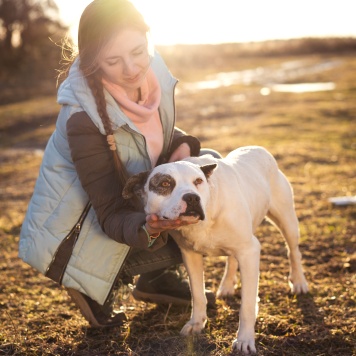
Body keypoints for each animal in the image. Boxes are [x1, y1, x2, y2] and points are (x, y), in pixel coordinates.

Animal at [123, 146, 308, 354]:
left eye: (198, 181)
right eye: (165, 183)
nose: (192, 197)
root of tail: (258, 148)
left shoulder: (250, 251)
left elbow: (247, 305)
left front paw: (244, 339)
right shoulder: (190, 256)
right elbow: (197, 294)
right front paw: (196, 323)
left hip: (287, 221)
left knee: (293, 251)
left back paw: (299, 282)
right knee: (232, 259)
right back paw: (226, 286)